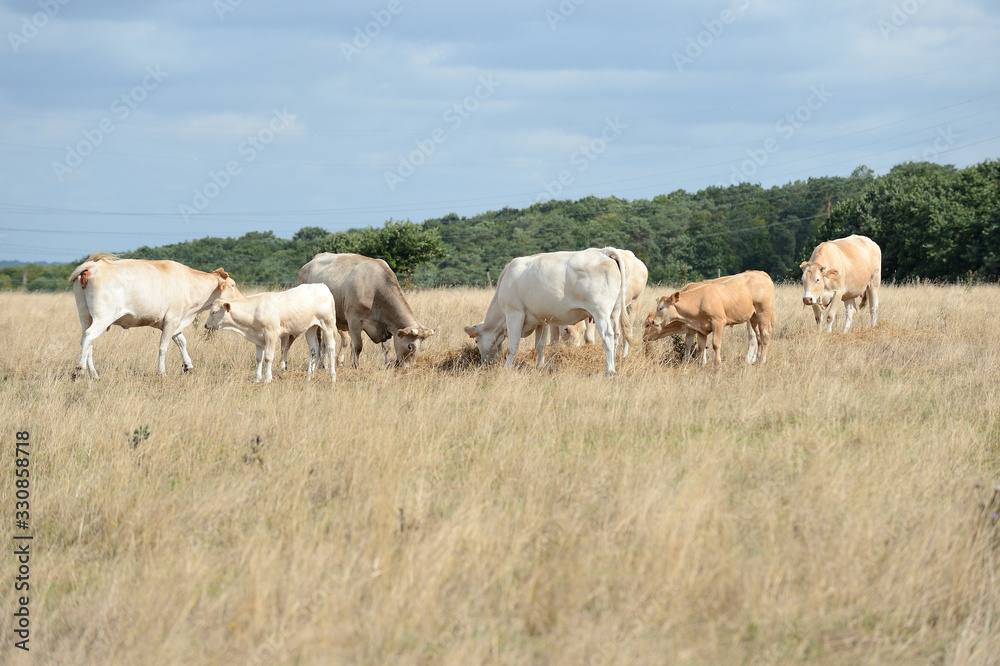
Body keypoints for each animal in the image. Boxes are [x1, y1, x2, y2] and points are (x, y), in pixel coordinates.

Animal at [67, 253, 242, 378]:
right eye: (233, 285)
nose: (241, 299)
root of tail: (94, 265)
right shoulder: (172, 320)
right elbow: (163, 346)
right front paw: (161, 373)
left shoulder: (175, 322)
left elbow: (182, 342)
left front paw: (188, 366)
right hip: (103, 317)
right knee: (89, 336)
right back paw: (79, 370)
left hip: (86, 316)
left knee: (87, 341)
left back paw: (93, 374)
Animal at [203, 282, 336, 384]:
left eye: (214, 312)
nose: (205, 325)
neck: (255, 311)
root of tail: (322, 286)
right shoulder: (258, 338)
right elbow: (258, 358)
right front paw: (257, 379)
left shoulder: (271, 334)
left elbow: (268, 357)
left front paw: (267, 379)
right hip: (311, 328)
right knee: (313, 349)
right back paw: (309, 376)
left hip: (327, 325)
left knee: (330, 348)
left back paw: (332, 376)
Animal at [298, 252, 436, 366]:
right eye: (410, 347)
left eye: (422, 348)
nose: (408, 367)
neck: (375, 288)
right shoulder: (353, 320)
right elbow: (358, 346)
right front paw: (355, 366)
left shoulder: (385, 324)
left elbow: (387, 348)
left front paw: (386, 365)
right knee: (319, 342)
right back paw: (320, 365)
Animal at [462, 248, 636, 374]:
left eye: (476, 341)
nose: (484, 364)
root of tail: (603, 252)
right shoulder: (541, 320)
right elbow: (540, 345)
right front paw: (540, 366)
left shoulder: (514, 313)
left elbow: (513, 345)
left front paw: (506, 368)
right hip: (614, 312)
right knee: (616, 336)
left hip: (600, 312)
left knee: (608, 337)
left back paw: (610, 370)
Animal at [644, 268, 776, 366]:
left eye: (647, 325)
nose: (644, 338)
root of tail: (761, 274)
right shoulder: (698, 328)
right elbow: (696, 346)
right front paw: (693, 363)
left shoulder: (716, 323)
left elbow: (713, 344)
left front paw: (715, 364)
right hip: (753, 316)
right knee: (758, 336)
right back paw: (757, 359)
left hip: (763, 312)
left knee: (762, 335)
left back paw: (759, 360)